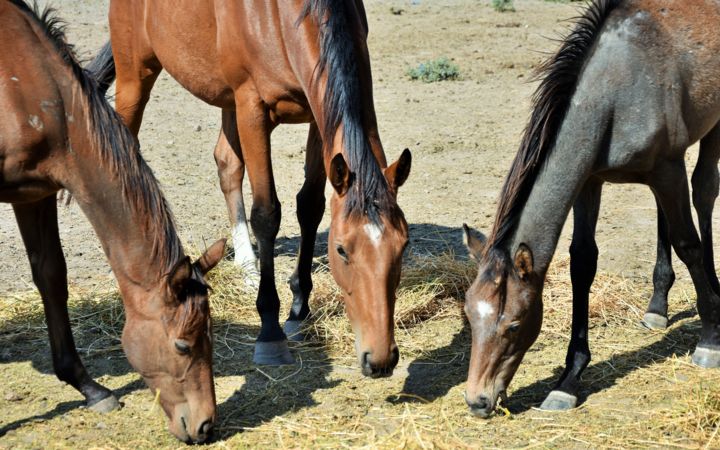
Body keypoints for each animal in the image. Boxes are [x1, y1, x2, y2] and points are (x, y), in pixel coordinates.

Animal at [0, 0, 225, 442]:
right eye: (183, 345)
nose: (205, 425)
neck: (24, 84)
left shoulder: (35, 192)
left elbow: (51, 276)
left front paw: (89, 387)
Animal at [97, 0, 410, 372]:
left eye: (403, 246)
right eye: (341, 250)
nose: (380, 359)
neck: (286, 17)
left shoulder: (317, 111)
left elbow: (310, 205)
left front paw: (299, 309)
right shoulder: (252, 108)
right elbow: (267, 214)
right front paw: (270, 332)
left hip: (225, 98)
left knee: (227, 164)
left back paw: (247, 266)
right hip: (136, 73)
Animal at [462, 0, 720, 418]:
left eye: (514, 324)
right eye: (468, 315)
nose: (477, 401)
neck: (612, 93)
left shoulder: (667, 167)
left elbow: (688, 244)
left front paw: (710, 340)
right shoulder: (590, 180)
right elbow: (583, 263)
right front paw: (568, 380)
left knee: (704, 191)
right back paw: (658, 306)